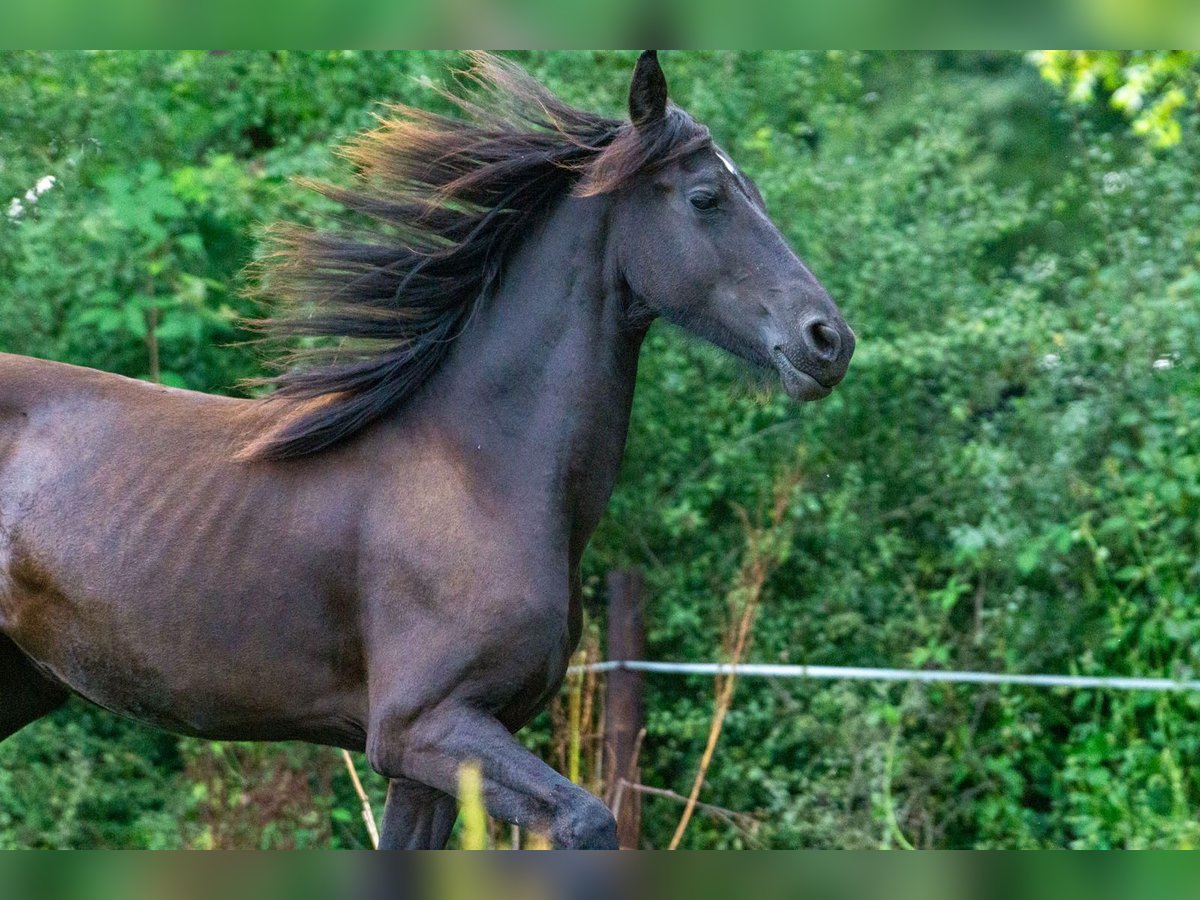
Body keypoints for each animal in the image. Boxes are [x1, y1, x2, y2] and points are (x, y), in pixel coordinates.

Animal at [0, 52, 854, 849]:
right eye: (706, 198)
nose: (829, 340)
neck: (485, 473)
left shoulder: (434, 767)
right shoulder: (424, 729)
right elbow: (588, 821)